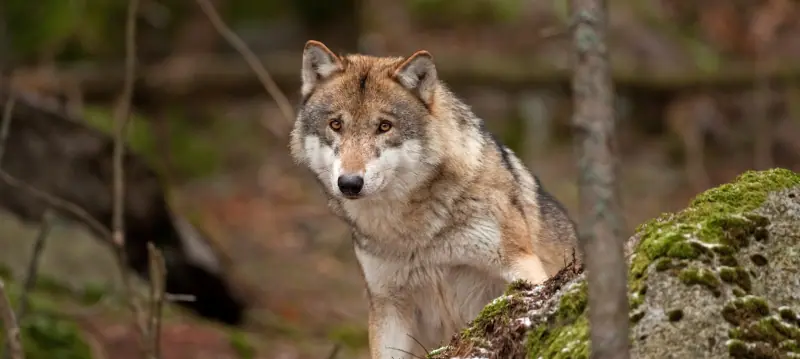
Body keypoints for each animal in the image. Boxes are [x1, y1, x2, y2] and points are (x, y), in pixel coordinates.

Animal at [290, 40, 580, 358]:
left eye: (384, 126)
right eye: (336, 124)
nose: (350, 184)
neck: (416, 233)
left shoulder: (522, 268)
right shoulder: (388, 306)